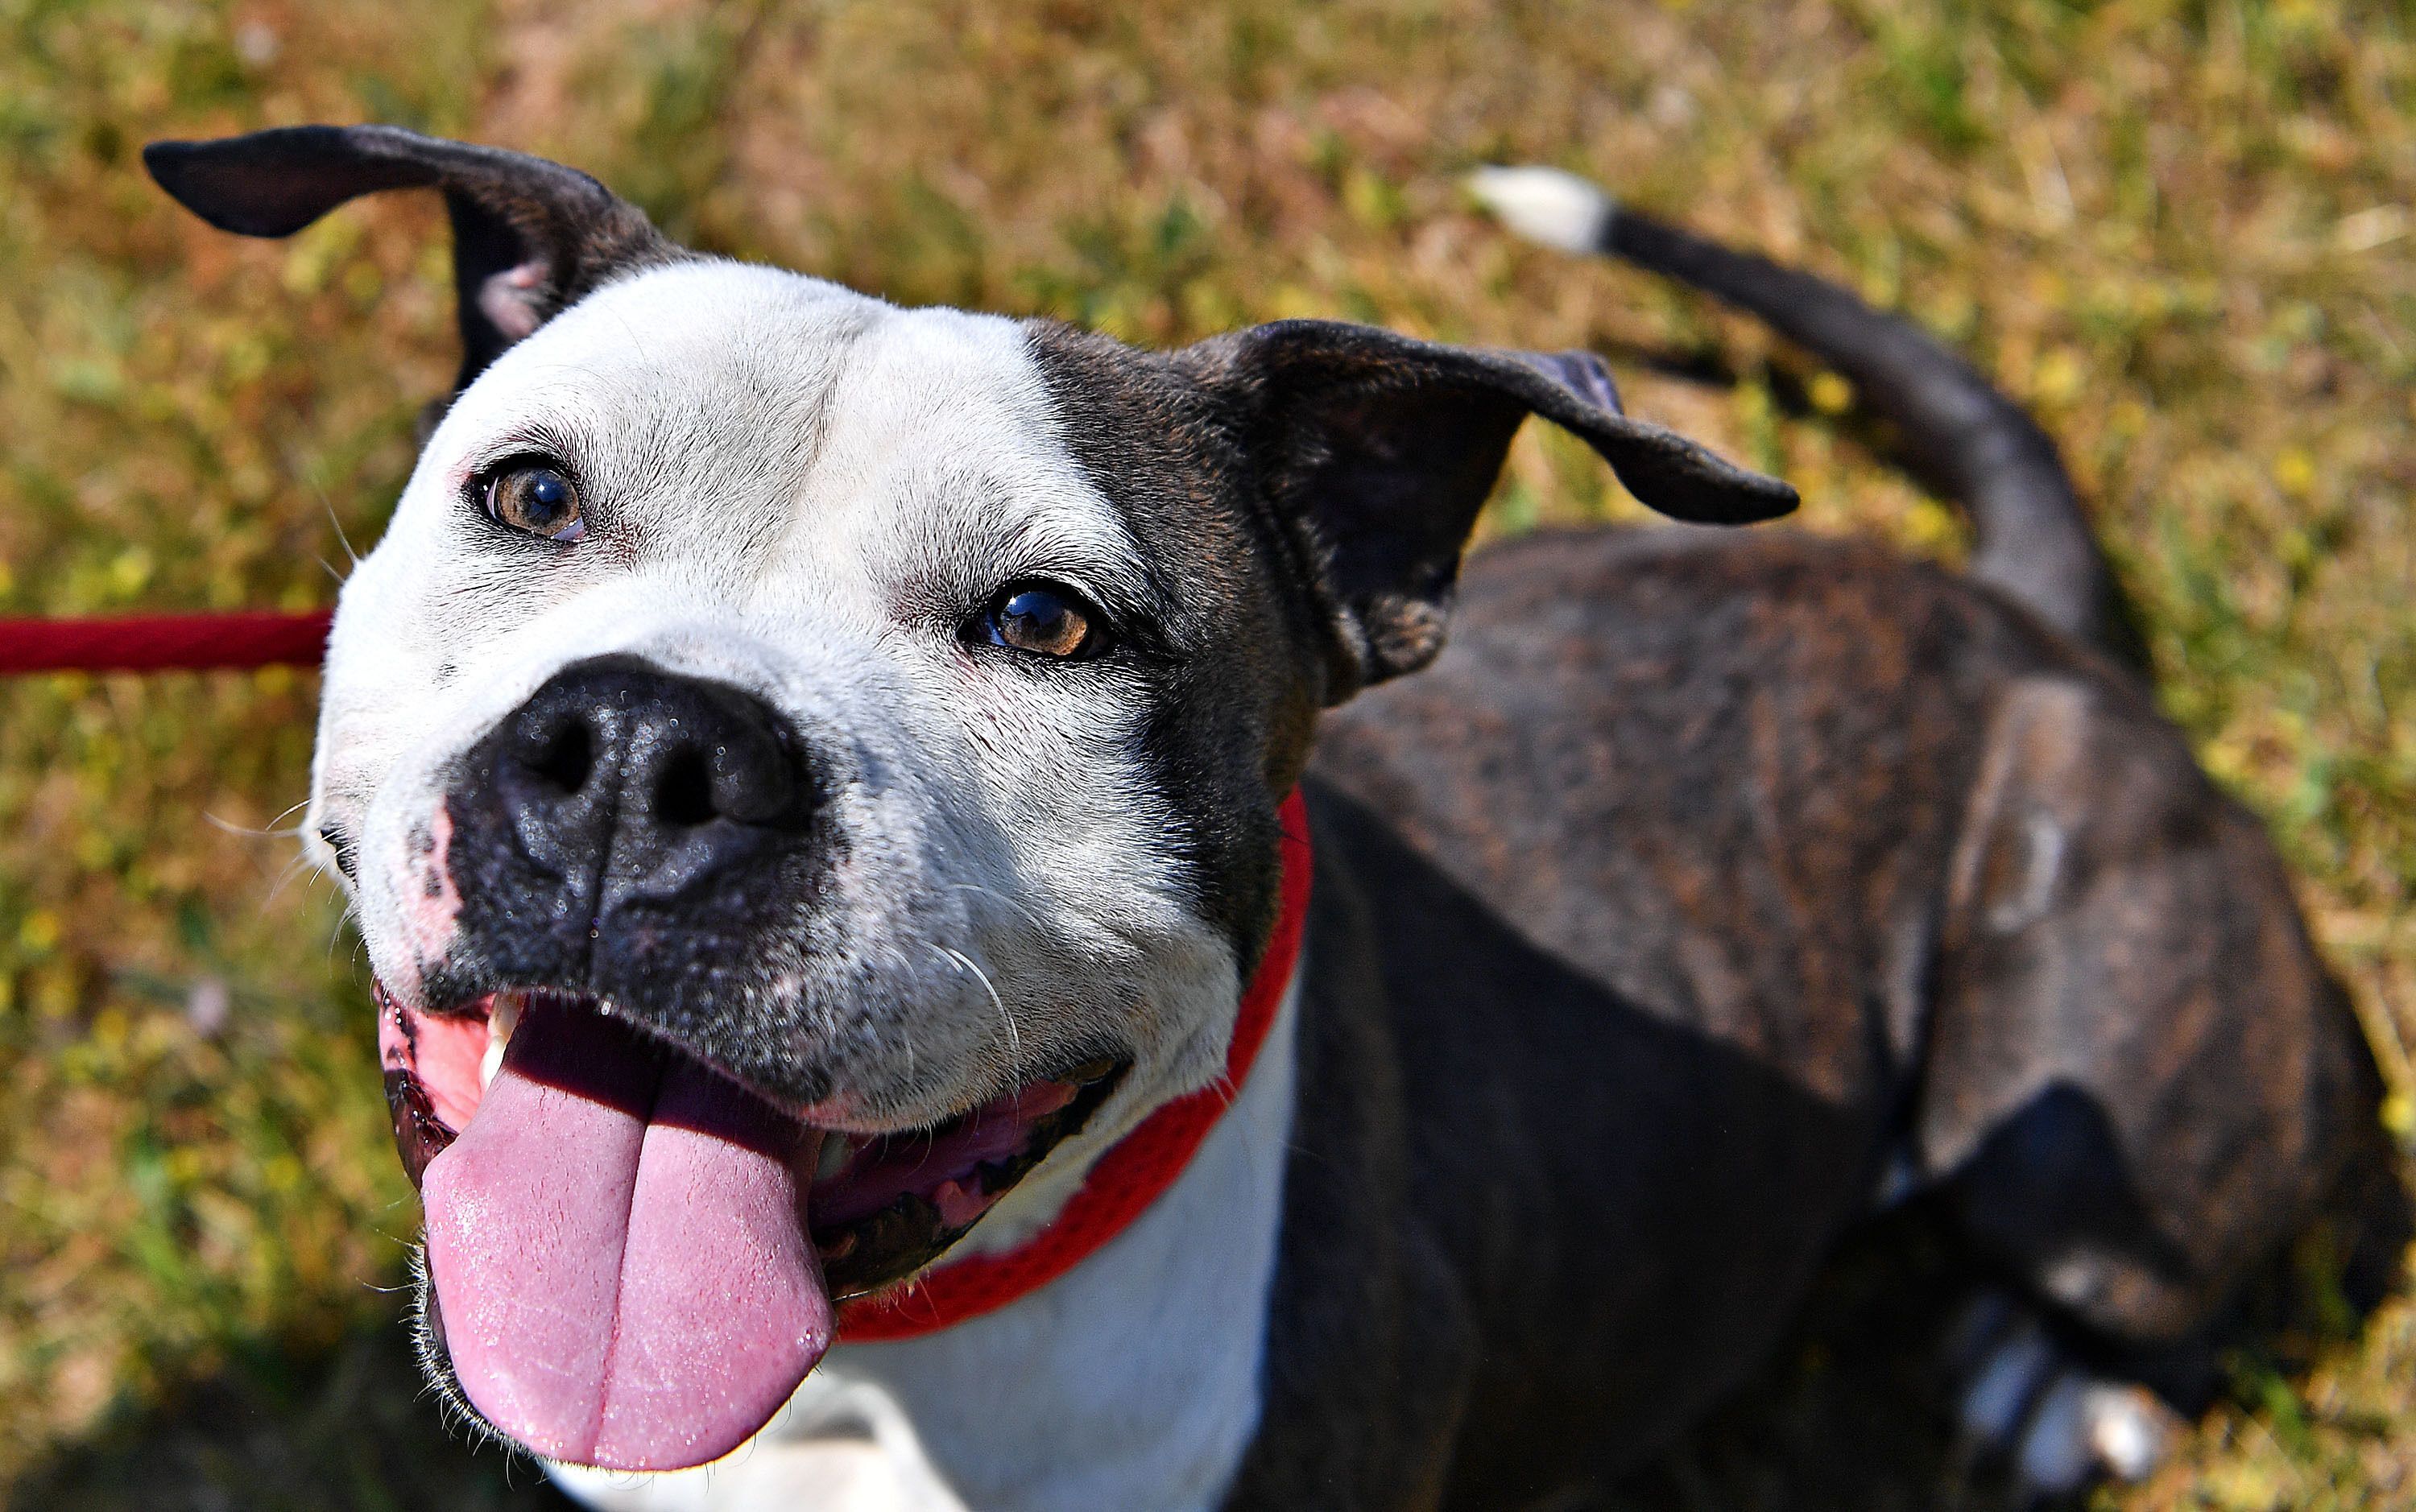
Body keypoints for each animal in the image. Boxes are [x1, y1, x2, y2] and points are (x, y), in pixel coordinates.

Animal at [146, 129, 2377, 1507]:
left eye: (1046, 622)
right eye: (527, 492)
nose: (645, 754)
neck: (884, 1375)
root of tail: (2023, 614)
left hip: (2088, 1085)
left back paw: (2062, 1375)